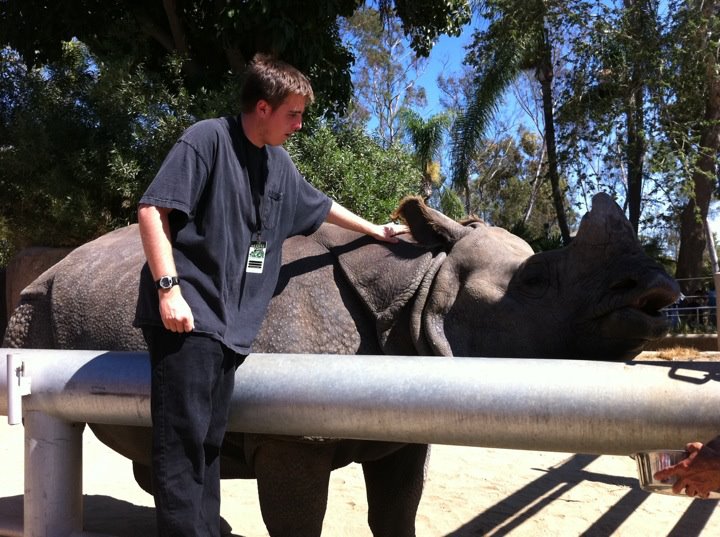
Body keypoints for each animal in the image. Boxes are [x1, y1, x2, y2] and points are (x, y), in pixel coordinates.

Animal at [3, 193, 680, 537]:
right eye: (535, 281)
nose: (655, 288)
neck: (419, 285)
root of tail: (56, 261)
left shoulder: (406, 422)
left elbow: (396, 514)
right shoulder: (293, 435)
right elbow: (300, 521)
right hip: (33, 305)